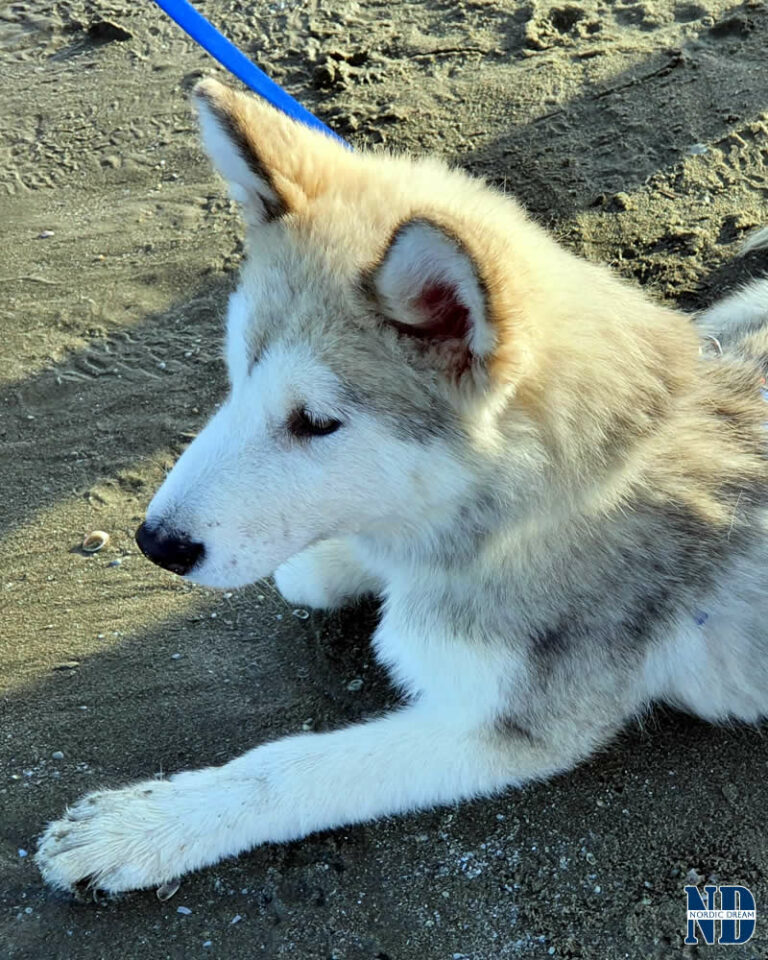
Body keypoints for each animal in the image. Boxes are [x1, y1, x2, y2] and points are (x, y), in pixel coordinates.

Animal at [37, 77, 768, 892]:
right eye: (235, 375)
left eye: (316, 421)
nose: (155, 543)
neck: (542, 510)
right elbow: (328, 565)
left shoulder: (508, 726)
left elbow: (290, 769)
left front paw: (142, 826)